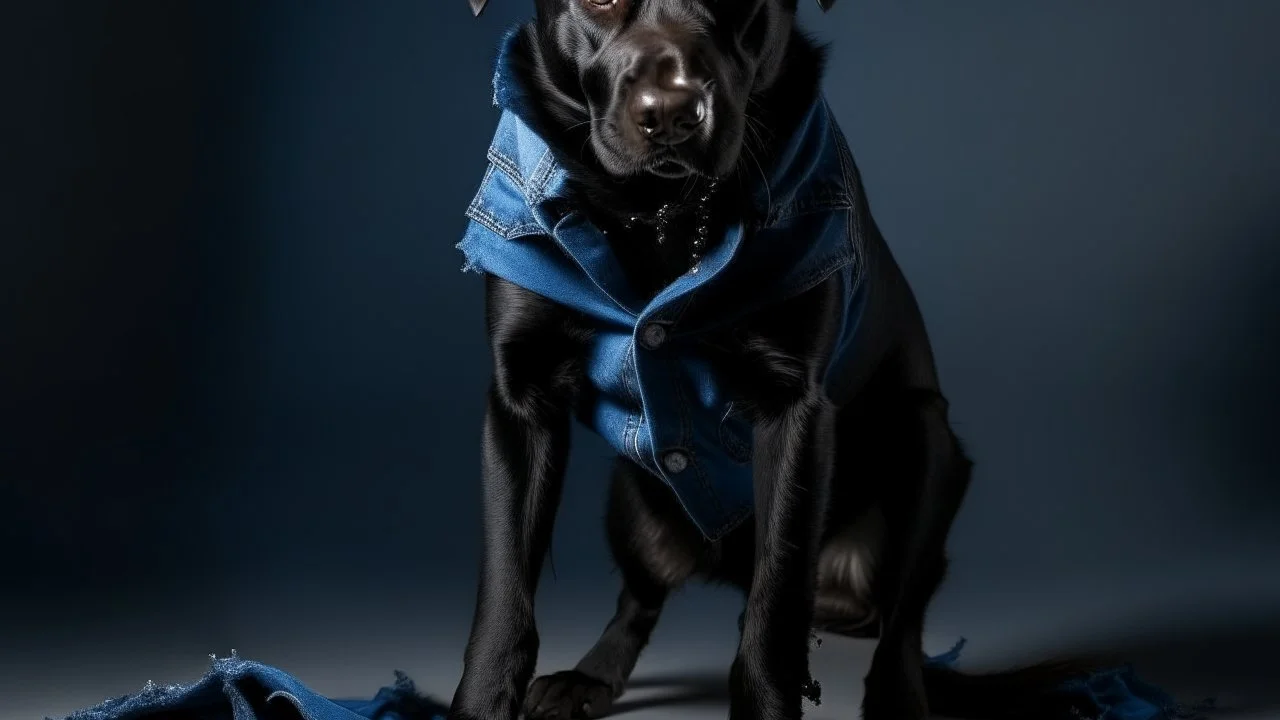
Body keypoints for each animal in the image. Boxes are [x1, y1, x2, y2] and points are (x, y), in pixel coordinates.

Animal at [448, 1, 1090, 717]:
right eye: (601, 3)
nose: (675, 113)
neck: (657, 211)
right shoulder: (520, 399)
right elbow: (506, 588)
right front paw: (483, 700)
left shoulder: (794, 412)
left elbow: (776, 597)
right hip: (630, 500)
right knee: (638, 601)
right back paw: (589, 676)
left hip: (928, 441)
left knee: (897, 619)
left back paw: (899, 695)